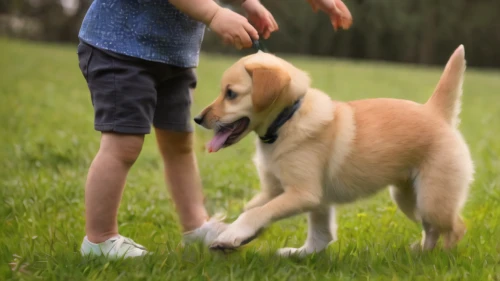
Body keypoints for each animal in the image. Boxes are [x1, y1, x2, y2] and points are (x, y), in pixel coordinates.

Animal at [194, 44, 472, 256]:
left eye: (231, 94)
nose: (197, 118)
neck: (287, 120)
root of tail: (435, 112)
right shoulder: (281, 191)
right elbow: (256, 211)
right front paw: (237, 236)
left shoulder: (303, 193)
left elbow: (257, 213)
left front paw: (232, 235)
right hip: (408, 198)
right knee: (430, 229)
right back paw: (421, 253)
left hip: (431, 199)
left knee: (456, 227)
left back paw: (441, 259)